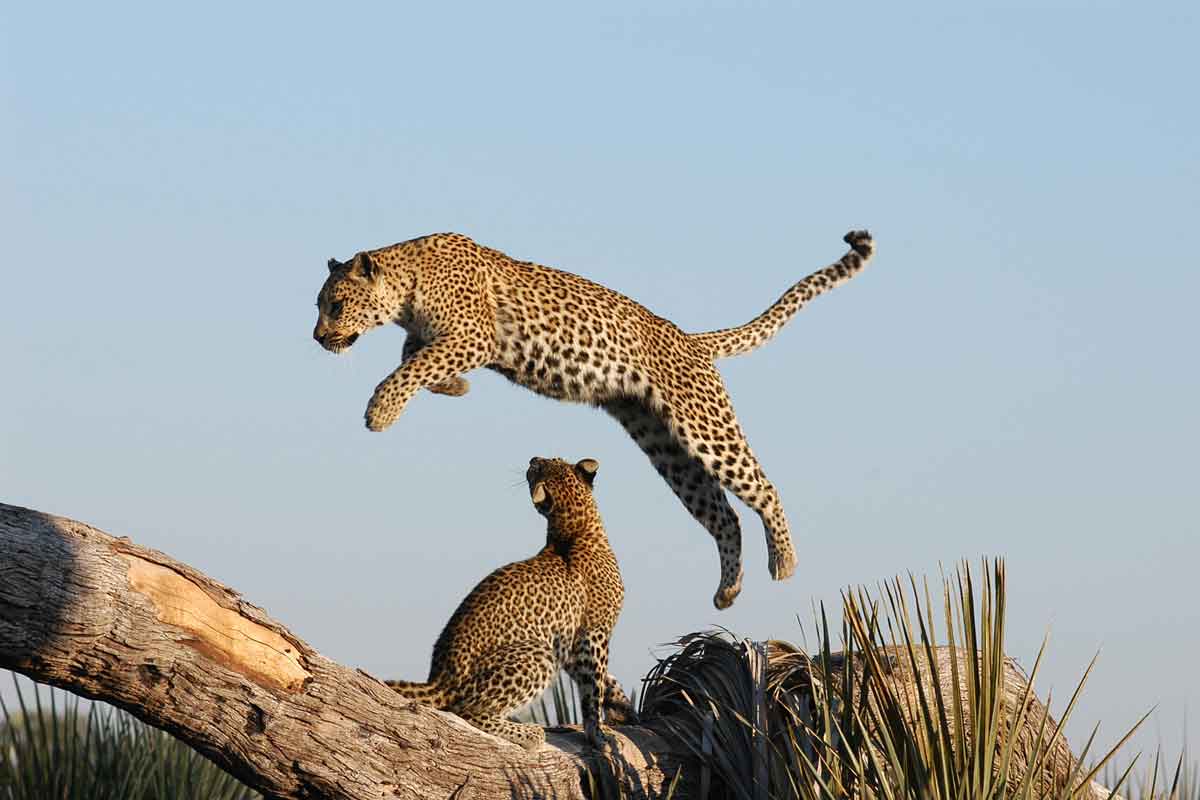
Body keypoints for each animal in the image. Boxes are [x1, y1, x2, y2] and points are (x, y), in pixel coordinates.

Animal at [314, 227, 878, 604]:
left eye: (335, 305)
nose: (318, 338)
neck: (406, 286)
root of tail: (691, 340)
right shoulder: (445, 339)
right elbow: (414, 357)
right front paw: (454, 386)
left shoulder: (473, 336)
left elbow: (409, 368)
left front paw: (381, 411)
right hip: (667, 448)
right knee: (722, 514)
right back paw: (728, 590)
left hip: (703, 426)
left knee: (762, 488)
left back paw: (784, 561)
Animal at [391, 455, 638, 753]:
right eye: (537, 467)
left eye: (550, 461)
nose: (532, 459)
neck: (573, 527)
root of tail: (437, 680)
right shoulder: (594, 633)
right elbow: (594, 687)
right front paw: (598, 734)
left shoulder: (569, 641)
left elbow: (606, 680)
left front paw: (623, 708)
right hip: (538, 654)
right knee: (466, 711)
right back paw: (530, 734)